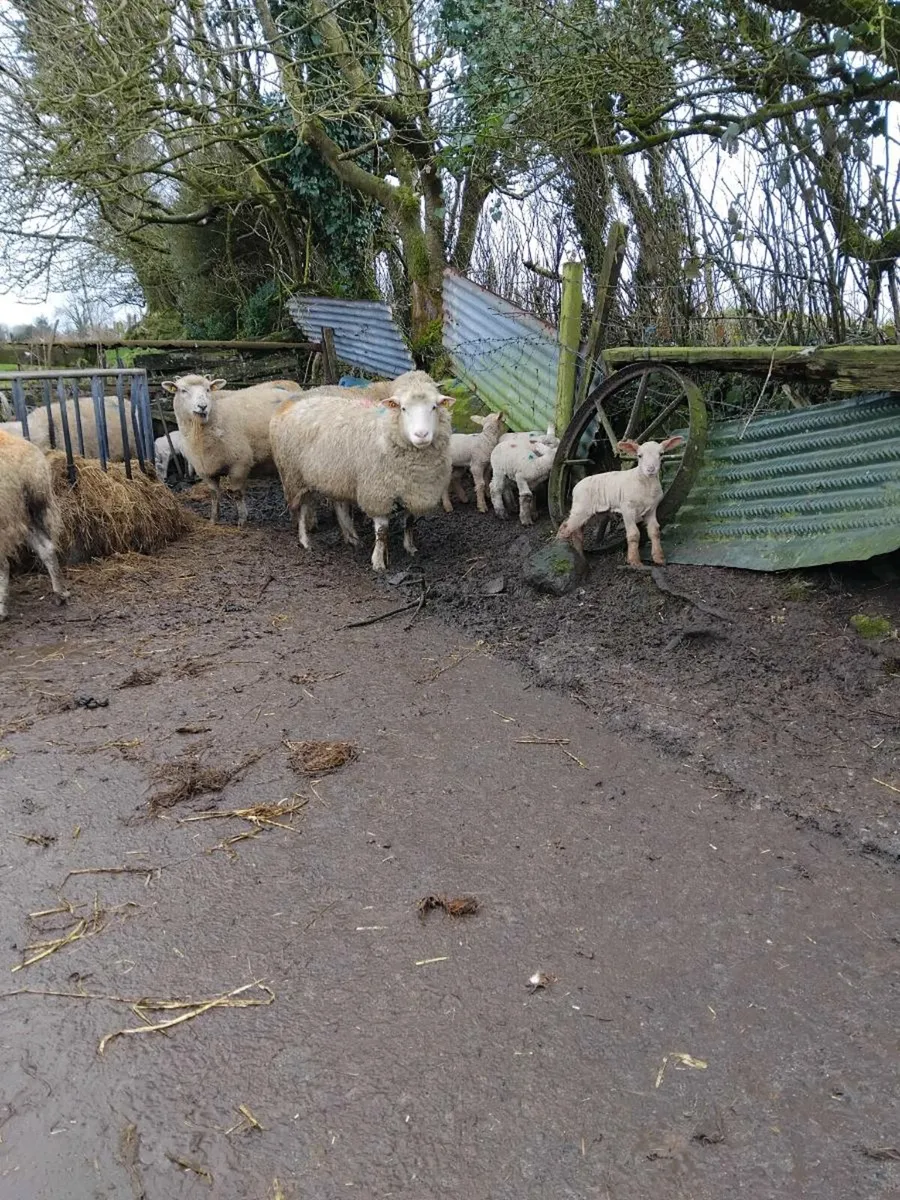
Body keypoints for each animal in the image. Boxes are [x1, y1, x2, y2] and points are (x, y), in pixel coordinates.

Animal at [162, 376, 303, 525]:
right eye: (183, 390)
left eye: (208, 389)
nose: (203, 406)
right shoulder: (204, 469)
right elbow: (214, 494)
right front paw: (213, 519)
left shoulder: (239, 464)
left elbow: (237, 493)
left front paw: (242, 519)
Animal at [270, 370, 454, 571]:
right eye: (403, 408)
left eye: (434, 407)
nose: (421, 435)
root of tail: (292, 405)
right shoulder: (377, 493)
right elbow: (382, 531)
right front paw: (378, 562)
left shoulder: (413, 491)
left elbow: (409, 521)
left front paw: (410, 547)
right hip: (294, 477)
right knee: (302, 510)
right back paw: (305, 541)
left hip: (334, 476)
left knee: (339, 505)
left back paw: (352, 538)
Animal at [556, 436, 685, 566]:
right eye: (639, 456)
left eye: (661, 454)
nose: (650, 469)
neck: (645, 483)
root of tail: (576, 487)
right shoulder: (627, 508)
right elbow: (634, 534)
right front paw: (634, 562)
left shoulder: (652, 509)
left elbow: (655, 531)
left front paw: (659, 558)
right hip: (581, 508)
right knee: (565, 528)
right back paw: (562, 550)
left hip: (591, 514)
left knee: (576, 532)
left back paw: (581, 558)